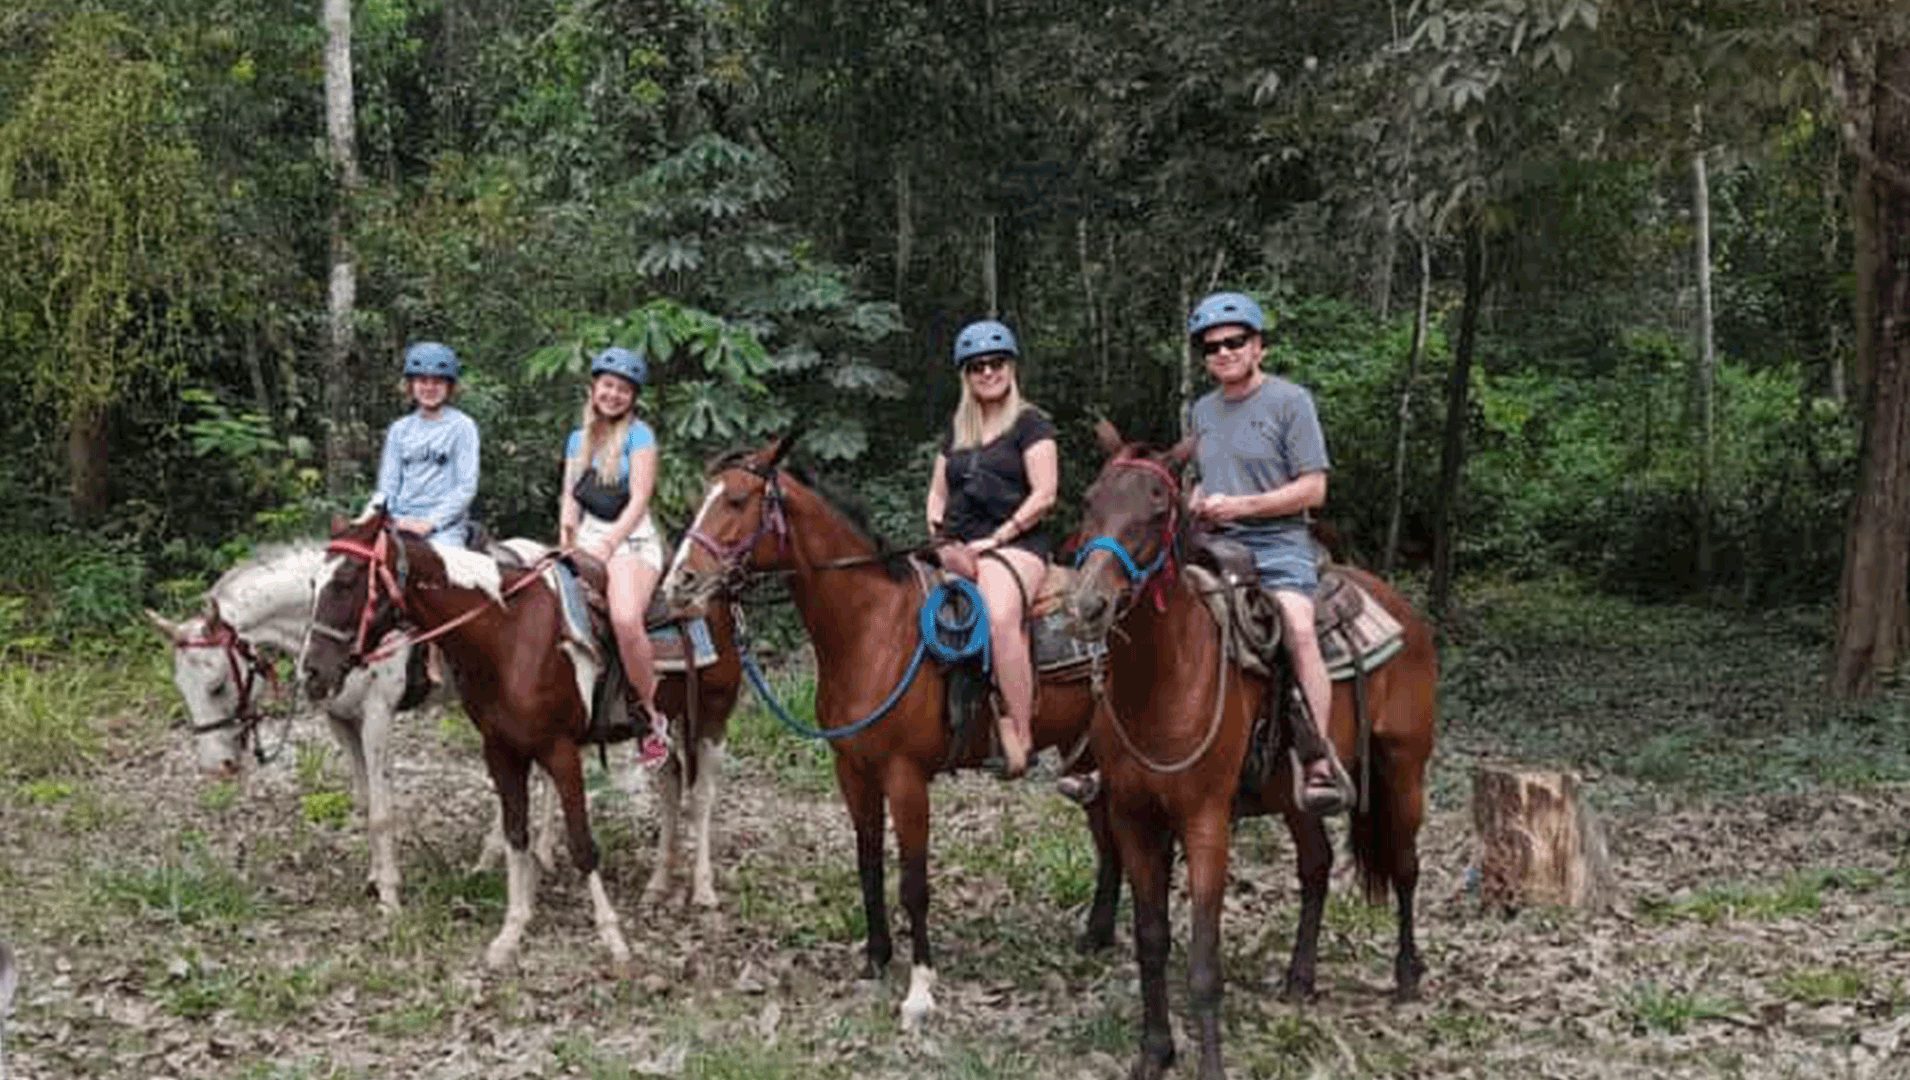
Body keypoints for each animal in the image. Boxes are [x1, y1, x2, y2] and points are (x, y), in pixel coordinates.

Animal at [301, 508, 741, 971]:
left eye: (346, 579)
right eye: (313, 582)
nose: (312, 671)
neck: (508, 635)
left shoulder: (560, 751)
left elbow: (583, 844)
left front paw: (612, 938)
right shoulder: (500, 750)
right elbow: (516, 835)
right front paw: (511, 931)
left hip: (711, 718)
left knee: (702, 797)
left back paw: (703, 889)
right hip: (660, 726)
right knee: (671, 784)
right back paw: (658, 883)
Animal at [664, 432, 1123, 1024]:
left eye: (738, 500)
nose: (680, 581)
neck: (872, 628)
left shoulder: (905, 778)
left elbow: (913, 882)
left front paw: (920, 988)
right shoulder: (852, 769)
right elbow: (868, 863)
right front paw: (876, 958)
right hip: (1084, 754)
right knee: (1107, 833)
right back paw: (1097, 934)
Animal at [1061, 418, 1436, 1078]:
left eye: (1157, 509)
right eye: (1089, 500)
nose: (1088, 605)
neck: (1164, 678)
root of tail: (1402, 611)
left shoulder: (1206, 821)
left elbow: (1203, 961)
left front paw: (1207, 1062)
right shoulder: (1135, 817)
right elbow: (1152, 941)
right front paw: (1155, 1052)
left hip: (1403, 770)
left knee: (1405, 865)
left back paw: (1406, 975)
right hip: (1293, 794)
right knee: (1316, 866)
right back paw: (1301, 977)